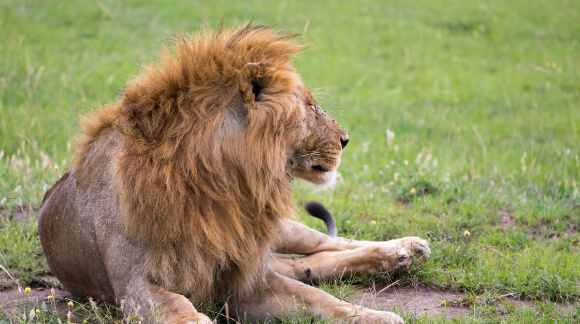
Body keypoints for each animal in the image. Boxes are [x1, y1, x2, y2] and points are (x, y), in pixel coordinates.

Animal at [38, 26, 428, 324]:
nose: (346, 140)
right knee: (308, 263)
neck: (221, 183)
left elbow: (322, 300)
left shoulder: (243, 275)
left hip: (280, 230)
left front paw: (379, 316)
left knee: (326, 243)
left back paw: (404, 249)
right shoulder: (133, 285)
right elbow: (178, 307)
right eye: (311, 107)